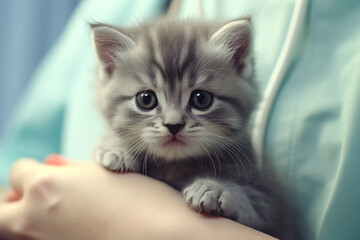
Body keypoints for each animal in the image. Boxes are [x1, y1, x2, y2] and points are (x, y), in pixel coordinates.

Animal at [91, 17, 282, 237]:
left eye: (202, 99)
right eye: (146, 99)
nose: (173, 125)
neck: (175, 166)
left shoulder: (270, 204)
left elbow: (253, 204)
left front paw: (217, 189)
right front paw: (115, 148)